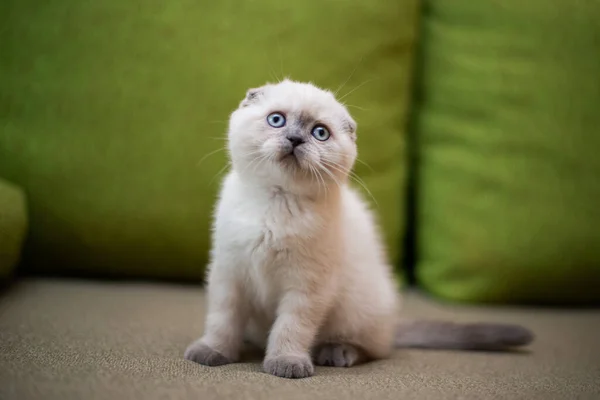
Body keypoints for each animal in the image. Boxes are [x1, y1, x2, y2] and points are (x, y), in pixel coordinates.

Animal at [185, 79, 532, 380]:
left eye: (320, 133)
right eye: (276, 120)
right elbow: (222, 320)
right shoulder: (228, 272)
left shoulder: (307, 287)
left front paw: (286, 363)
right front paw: (213, 352)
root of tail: (392, 324)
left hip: (356, 309)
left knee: (374, 348)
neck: (276, 202)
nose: (295, 140)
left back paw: (336, 353)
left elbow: (290, 327)